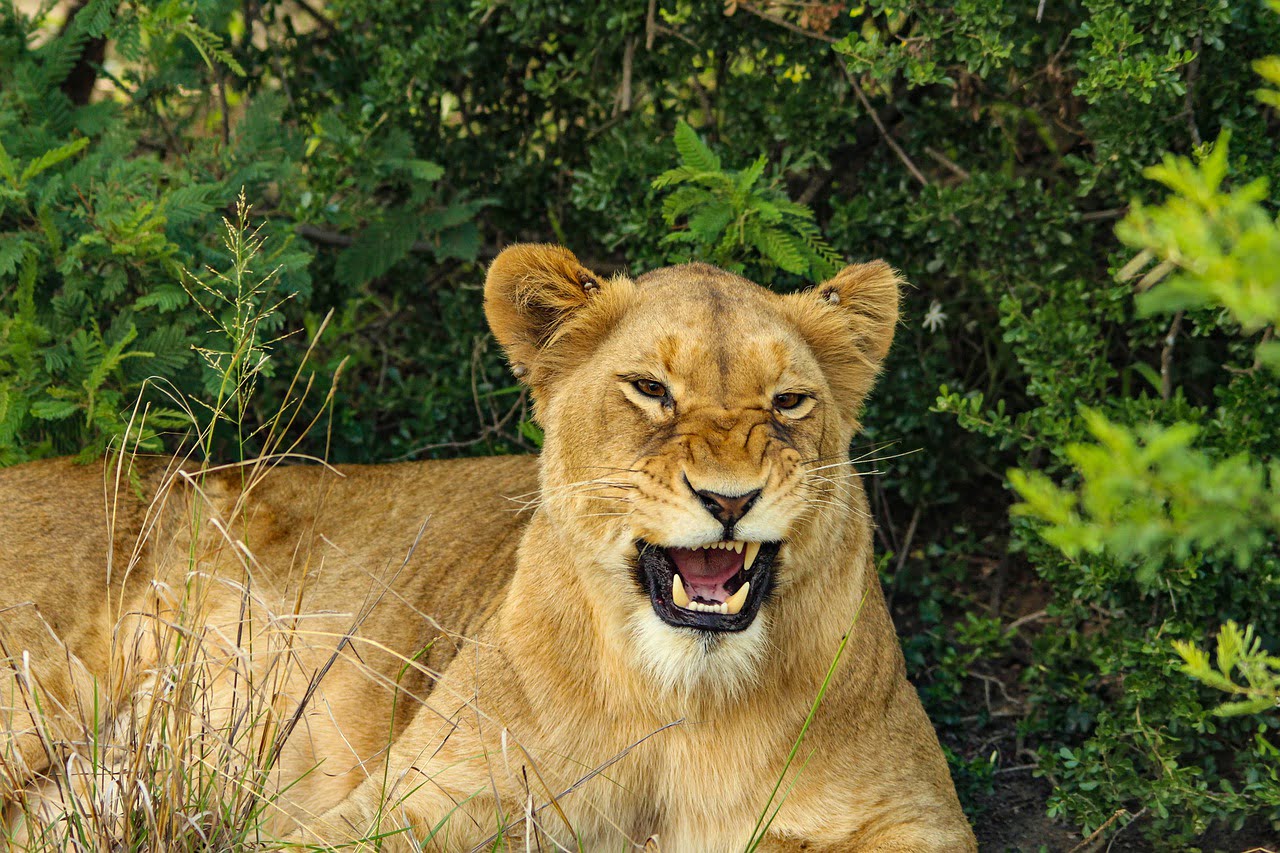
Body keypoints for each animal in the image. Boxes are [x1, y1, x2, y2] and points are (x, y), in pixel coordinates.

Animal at [0, 245, 976, 851]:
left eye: (789, 402)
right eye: (651, 389)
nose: (730, 499)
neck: (682, 702)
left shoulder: (914, 816)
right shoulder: (407, 804)